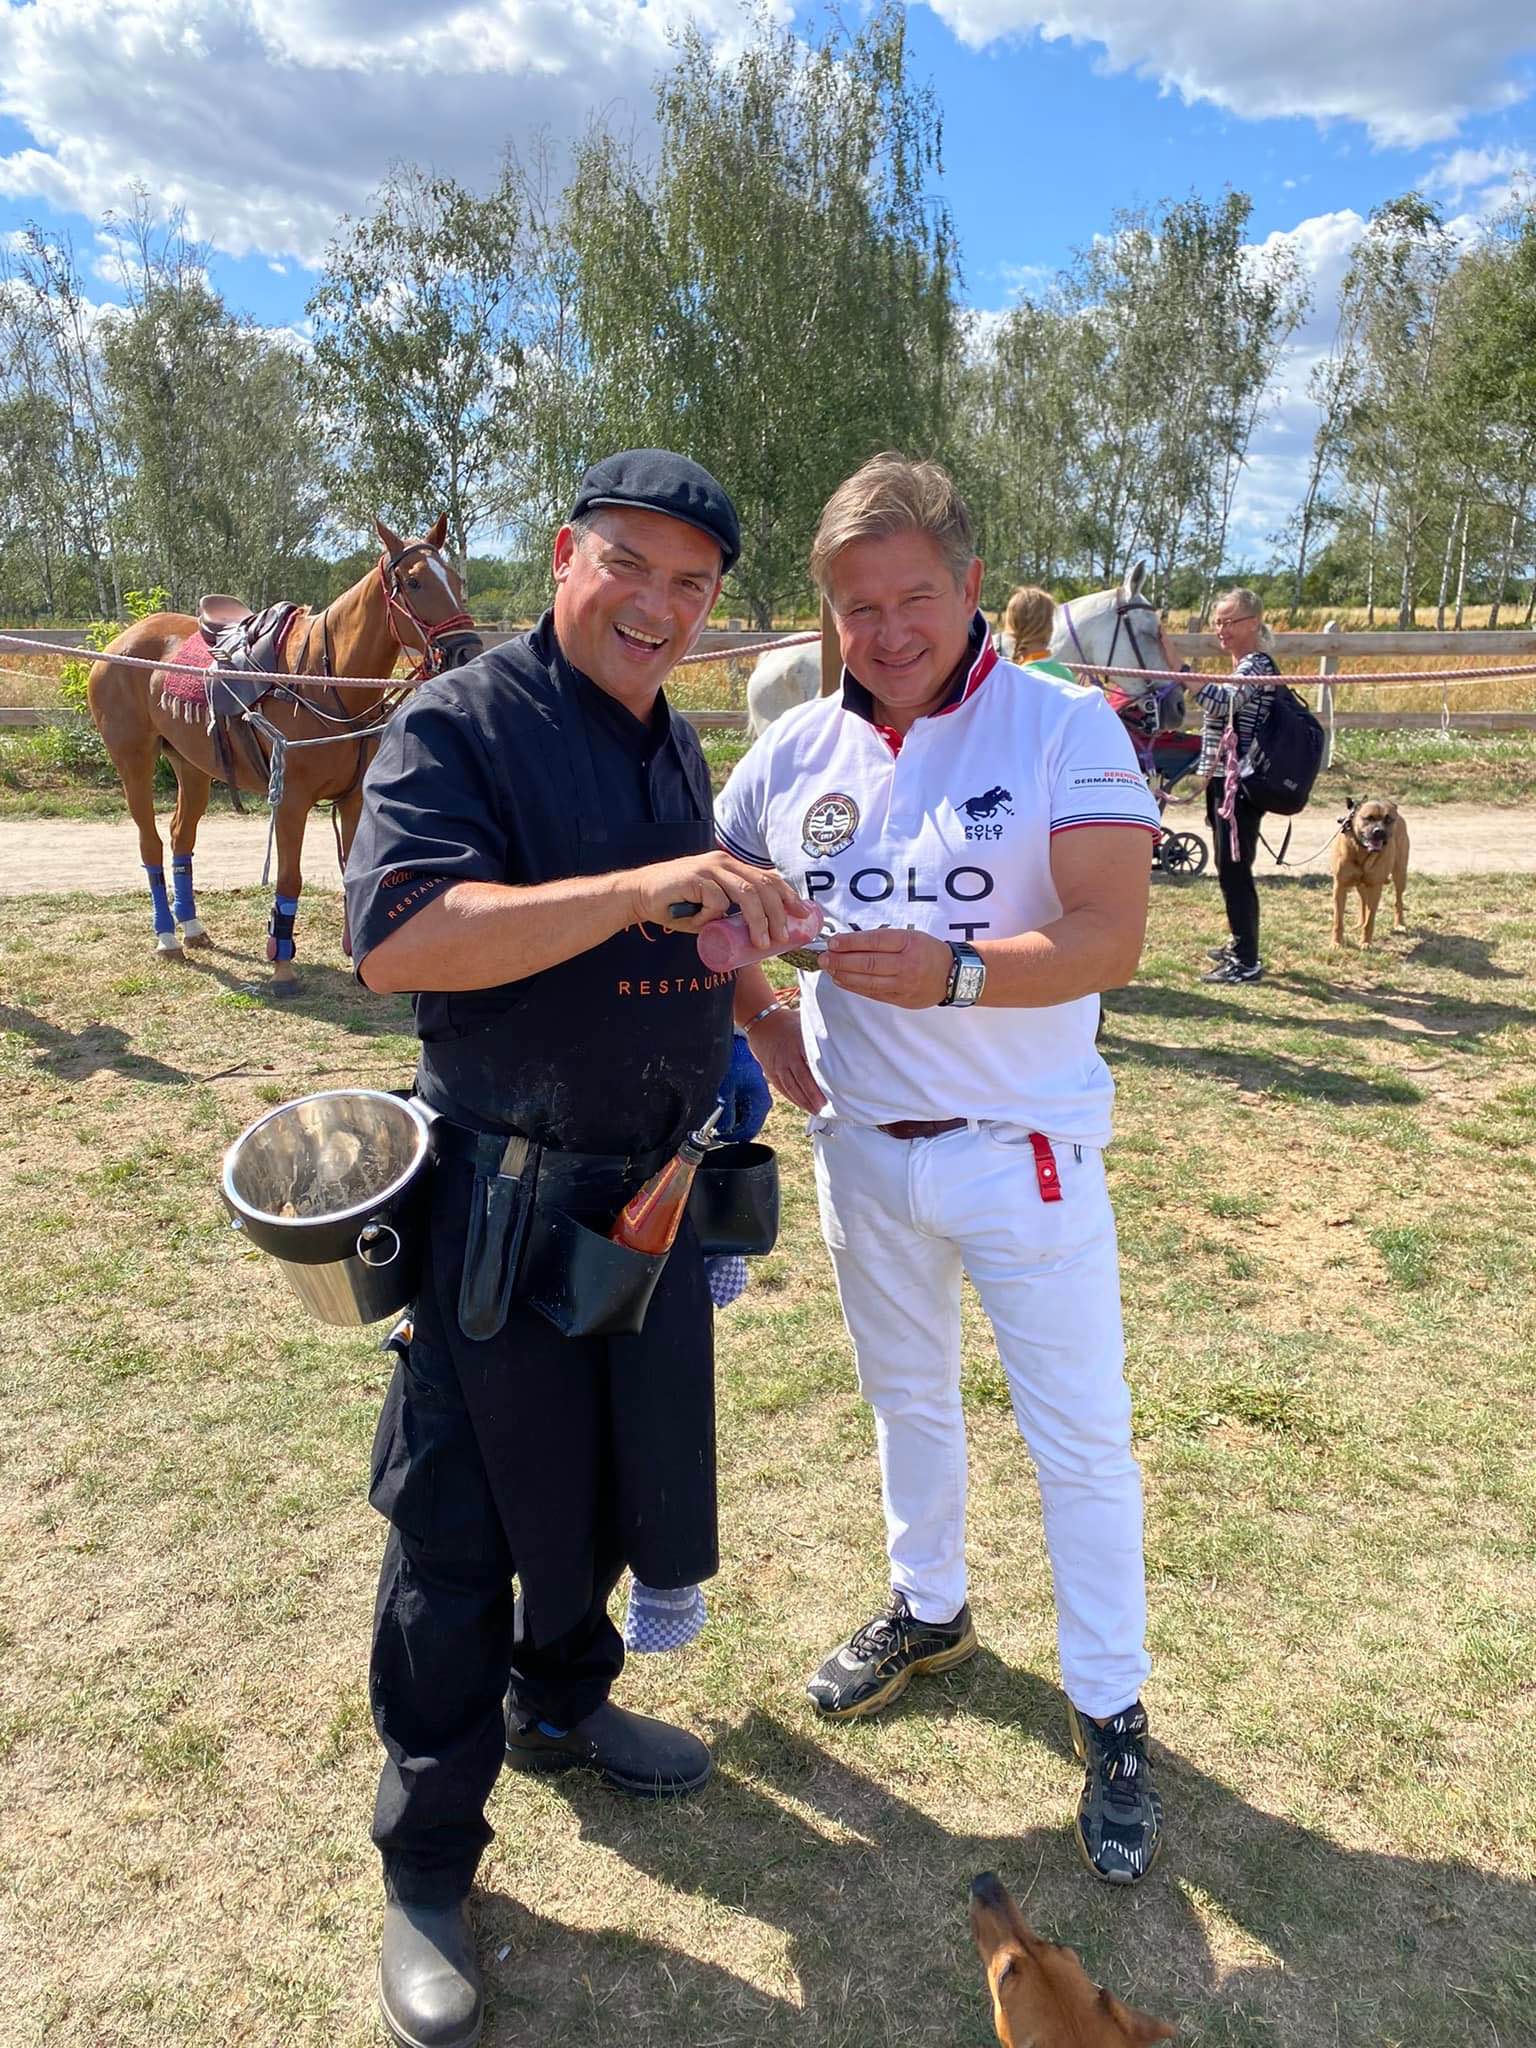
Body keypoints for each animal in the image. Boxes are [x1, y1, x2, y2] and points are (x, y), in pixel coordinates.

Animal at [86, 516, 482, 995]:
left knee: (182, 837)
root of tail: (118, 643)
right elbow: (289, 878)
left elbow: (353, 872)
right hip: (134, 762)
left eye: (458, 581)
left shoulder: (352, 799)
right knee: (151, 842)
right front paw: (282, 965)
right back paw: (167, 937)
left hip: (191, 765)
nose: (467, 651)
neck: (325, 679)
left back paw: (193, 928)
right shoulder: (292, 801)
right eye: (414, 581)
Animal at [1331, 796, 1410, 949]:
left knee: (1398, 900)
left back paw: (1399, 924)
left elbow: (1370, 919)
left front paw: (1366, 942)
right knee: (1363, 902)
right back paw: (1359, 924)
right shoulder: (1340, 886)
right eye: (1368, 818)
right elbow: (1338, 920)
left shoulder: (1375, 887)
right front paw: (1336, 943)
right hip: (1360, 884)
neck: (1362, 850)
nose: (1379, 831)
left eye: (1388, 819)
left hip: (1400, 873)